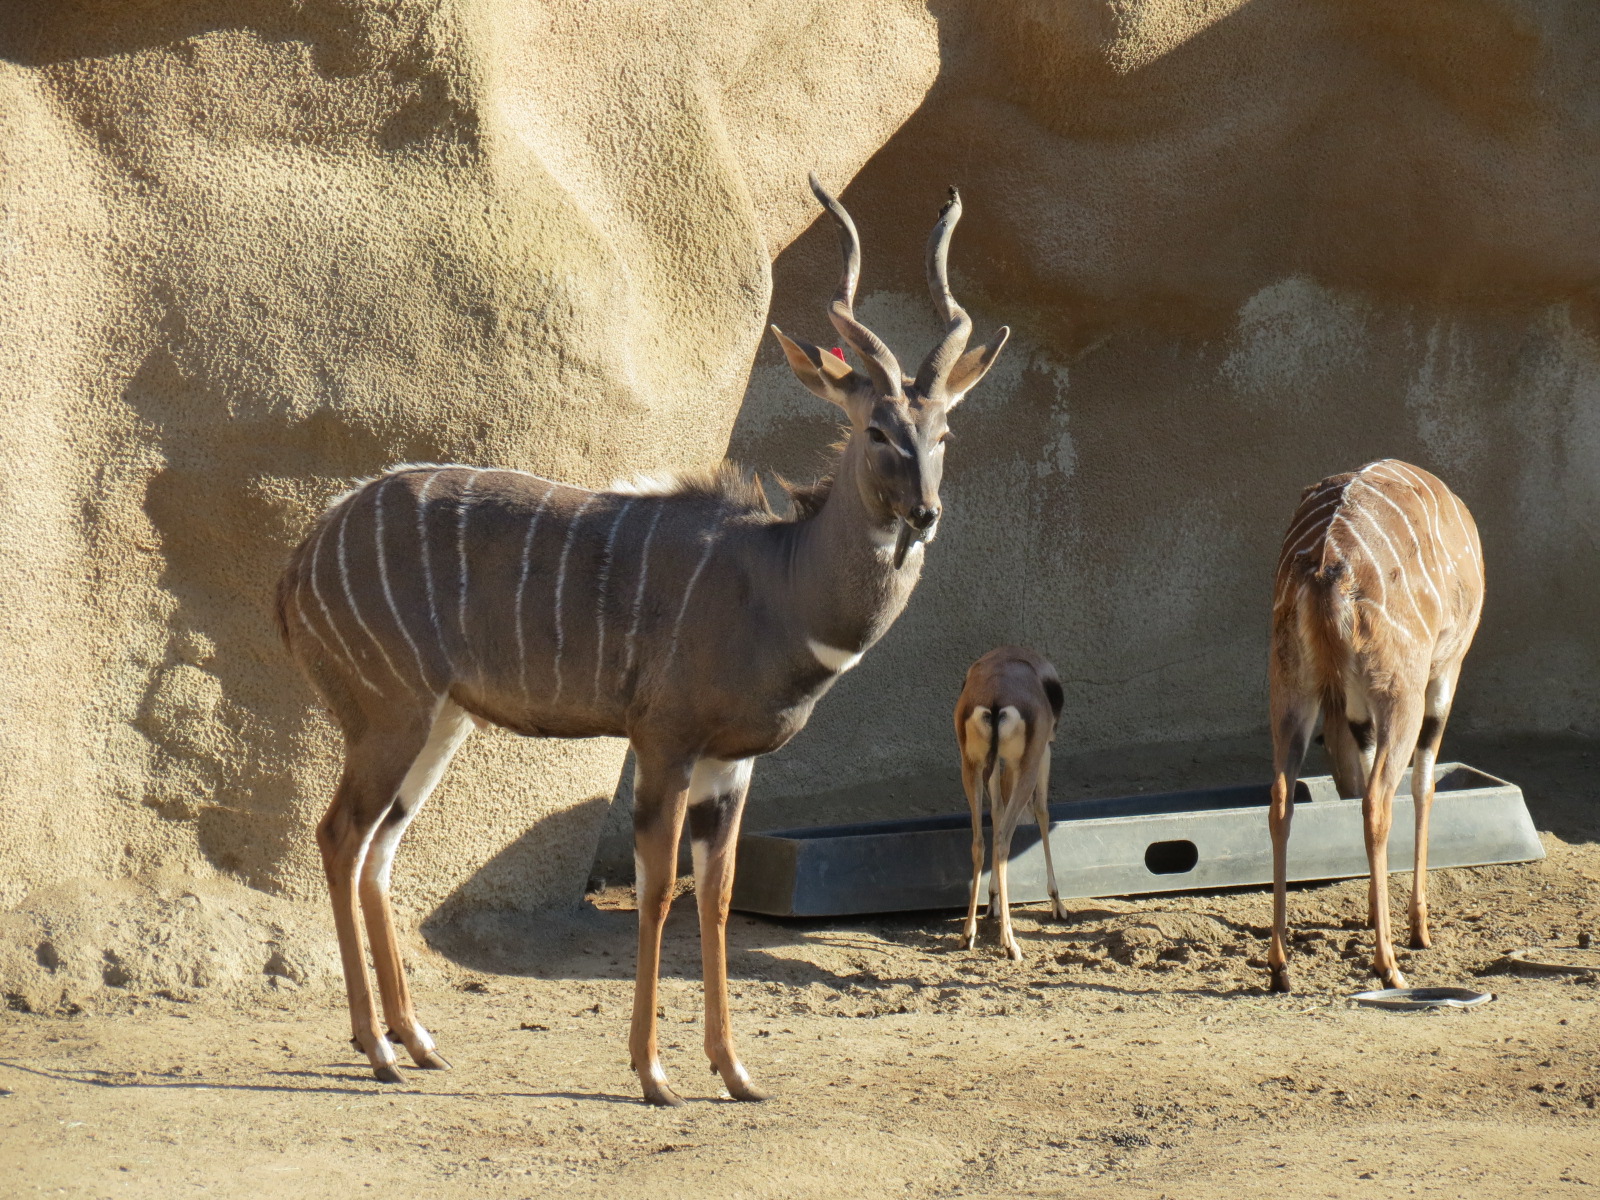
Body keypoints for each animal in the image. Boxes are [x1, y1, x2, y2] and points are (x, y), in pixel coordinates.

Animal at [274, 174, 1009, 1106]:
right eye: (876, 430)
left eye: (942, 432)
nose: (925, 513)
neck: (776, 581)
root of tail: (303, 560)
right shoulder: (664, 741)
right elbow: (659, 892)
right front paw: (654, 1073)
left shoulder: (732, 764)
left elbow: (717, 898)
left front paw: (736, 1072)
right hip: (390, 714)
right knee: (340, 837)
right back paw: (375, 1049)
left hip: (440, 721)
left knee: (380, 848)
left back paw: (419, 1041)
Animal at [954, 647, 1066, 961]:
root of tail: (996, 699)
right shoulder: (1043, 753)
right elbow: (1042, 811)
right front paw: (1056, 901)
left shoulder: (993, 765)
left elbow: (997, 812)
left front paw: (992, 900)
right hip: (1026, 765)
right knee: (1005, 839)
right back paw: (1010, 943)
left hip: (971, 766)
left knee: (980, 840)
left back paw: (968, 934)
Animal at [1266, 459, 1483, 992]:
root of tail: (1326, 569)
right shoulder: (1444, 672)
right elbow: (1425, 783)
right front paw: (1419, 927)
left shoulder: (1357, 712)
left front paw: (1370, 911)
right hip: (1402, 691)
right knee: (1380, 801)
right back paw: (1389, 966)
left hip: (1290, 690)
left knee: (1282, 799)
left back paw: (1280, 966)